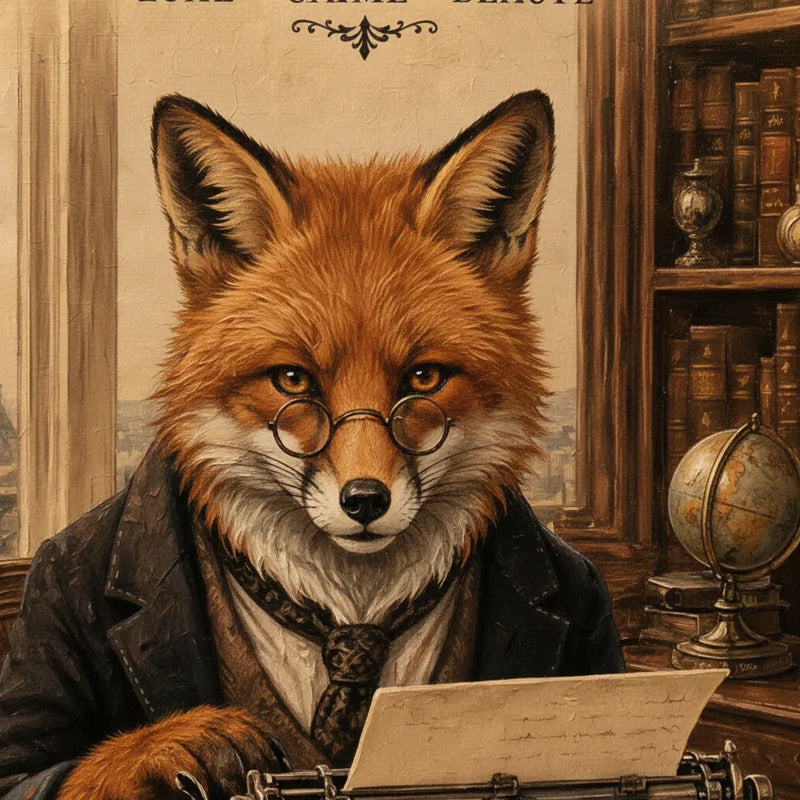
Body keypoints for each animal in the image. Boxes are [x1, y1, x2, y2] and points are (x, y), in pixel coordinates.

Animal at [0, 92, 624, 800]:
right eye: (293, 380)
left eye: (423, 378)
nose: (365, 501)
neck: (350, 607)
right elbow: (49, 766)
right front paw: (172, 743)